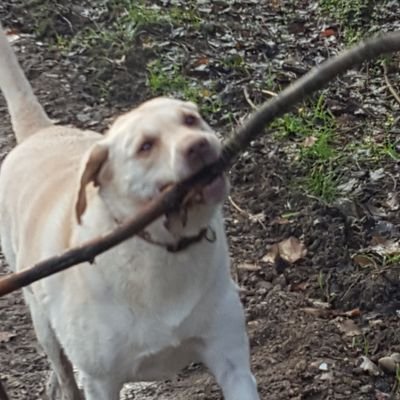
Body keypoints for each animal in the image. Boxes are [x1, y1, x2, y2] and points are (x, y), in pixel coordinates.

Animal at [0, 25, 260, 400]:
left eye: (191, 120)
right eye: (145, 147)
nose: (199, 145)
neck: (164, 248)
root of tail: (40, 132)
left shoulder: (231, 360)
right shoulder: (101, 382)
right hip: (40, 317)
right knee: (62, 367)